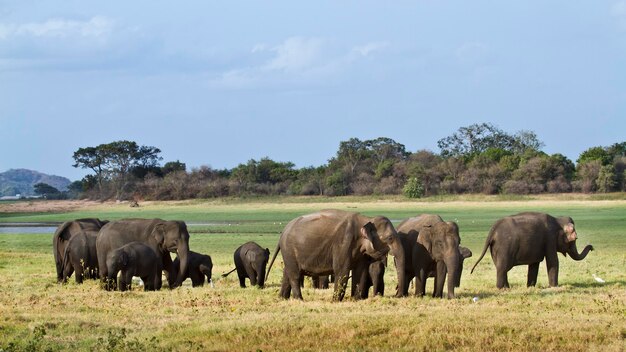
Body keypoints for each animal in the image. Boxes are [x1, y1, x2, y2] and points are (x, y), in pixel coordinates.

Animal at [264, 210, 404, 302]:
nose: (397, 295)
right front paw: (335, 301)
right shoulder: (343, 243)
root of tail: (282, 233)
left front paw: (355, 300)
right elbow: (342, 271)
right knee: (295, 275)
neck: (366, 219)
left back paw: (282, 298)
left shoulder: (360, 253)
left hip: (288, 254)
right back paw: (299, 300)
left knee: (287, 273)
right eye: (390, 238)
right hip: (289, 251)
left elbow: (360, 272)